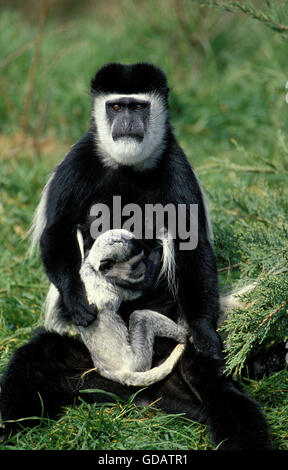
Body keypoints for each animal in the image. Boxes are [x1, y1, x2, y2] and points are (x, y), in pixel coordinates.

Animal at [0, 63, 272, 448]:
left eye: (139, 107)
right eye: (116, 107)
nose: (127, 121)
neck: (127, 166)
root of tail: (132, 389)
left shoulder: (176, 164)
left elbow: (192, 245)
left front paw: (206, 334)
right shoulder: (79, 160)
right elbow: (57, 231)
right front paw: (78, 300)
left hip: (180, 353)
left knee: (223, 394)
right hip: (82, 359)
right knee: (33, 363)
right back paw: (9, 427)